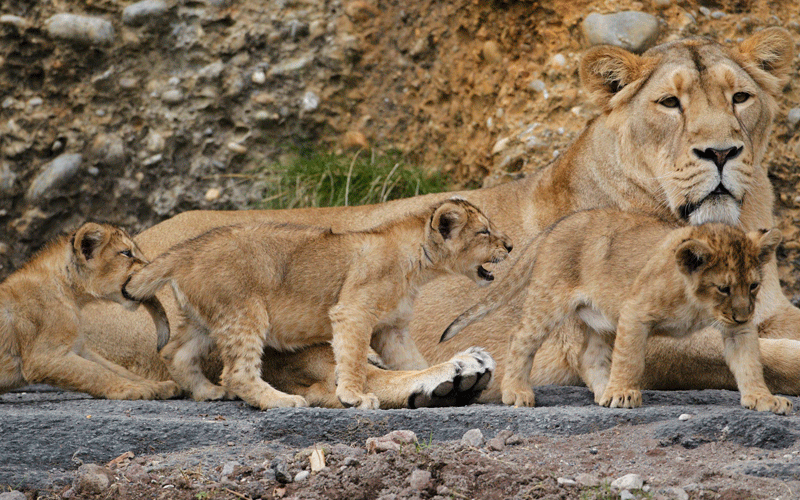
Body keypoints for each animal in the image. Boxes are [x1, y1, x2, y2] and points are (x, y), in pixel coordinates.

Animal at [0, 222, 178, 400]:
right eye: (127, 253)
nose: (153, 267)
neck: (70, 292)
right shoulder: (42, 357)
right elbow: (95, 372)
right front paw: (135, 389)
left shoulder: (79, 347)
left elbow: (115, 368)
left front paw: (158, 386)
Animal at [122, 199, 511, 409]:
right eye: (483, 232)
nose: (509, 245)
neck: (417, 263)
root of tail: (189, 248)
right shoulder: (352, 311)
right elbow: (353, 359)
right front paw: (354, 397)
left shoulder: (391, 330)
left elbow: (412, 363)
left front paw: (447, 373)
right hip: (245, 312)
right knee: (237, 372)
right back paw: (280, 401)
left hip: (206, 319)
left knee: (176, 353)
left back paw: (208, 393)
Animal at [440, 209, 792, 414]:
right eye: (723, 288)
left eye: (754, 286)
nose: (744, 314)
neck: (698, 303)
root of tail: (557, 224)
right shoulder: (635, 311)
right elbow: (631, 359)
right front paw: (624, 393)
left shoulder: (737, 329)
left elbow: (750, 364)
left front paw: (764, 399)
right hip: (549, 300)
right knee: (521, 340)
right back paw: (517, 393)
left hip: (602, 319)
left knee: (588, 357)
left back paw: (603, 392)